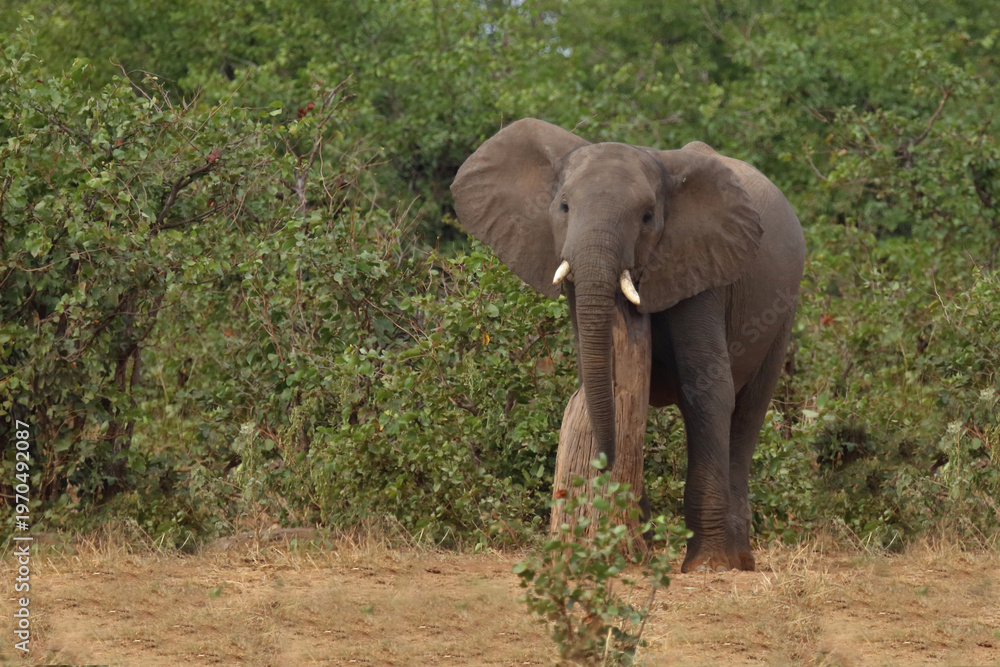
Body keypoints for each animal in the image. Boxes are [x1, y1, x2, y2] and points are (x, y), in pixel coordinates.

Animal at [451, 118, 805, 572]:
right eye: (563, 207)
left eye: (648, 217)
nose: (605, 463)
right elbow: (596, 374)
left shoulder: (702, 267)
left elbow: (707, 390)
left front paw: (706, 566)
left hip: (785, 307)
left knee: (748, 414)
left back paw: (738, 561)